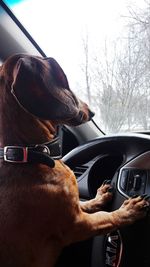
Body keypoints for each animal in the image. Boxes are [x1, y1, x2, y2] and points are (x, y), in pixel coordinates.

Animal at [0, 54, 149, 267]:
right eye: (64, 79)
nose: (92, 112)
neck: (28, 154)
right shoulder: (77, 224)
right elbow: (107, 217)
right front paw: (128, 210)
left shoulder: (74, 206)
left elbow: (86, 203)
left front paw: (100, 196)